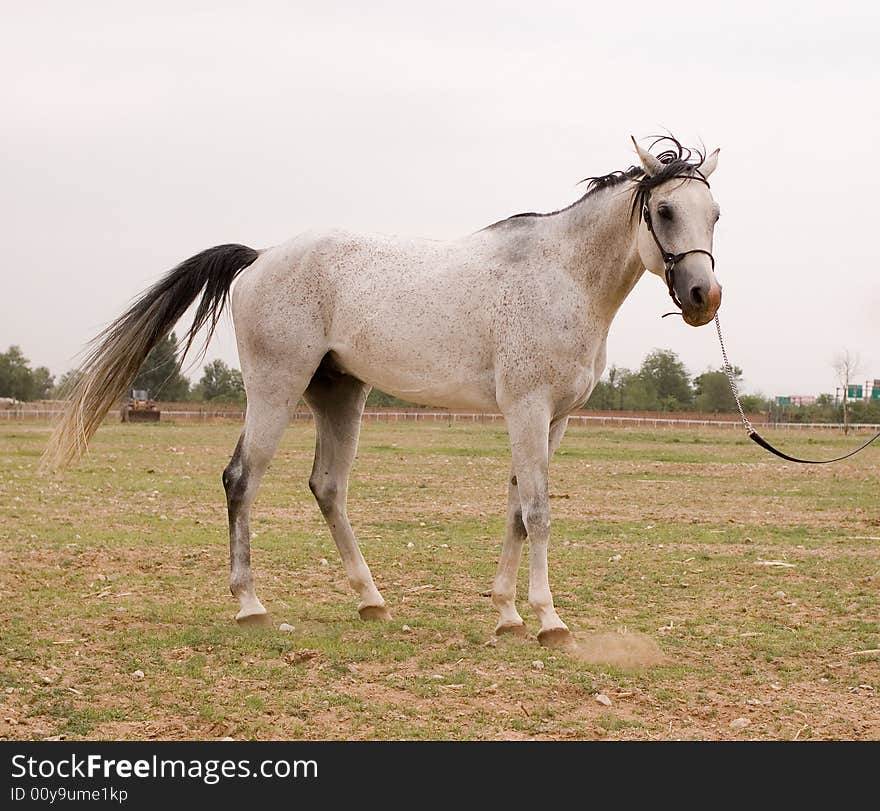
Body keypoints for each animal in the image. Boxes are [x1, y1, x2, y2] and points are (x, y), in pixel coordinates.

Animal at [44, 136, 720, 652]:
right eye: (664, 211)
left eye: (714, 214)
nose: (703, 297)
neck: (560, 276)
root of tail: (260, 257)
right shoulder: (527, 411)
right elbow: (538, 512)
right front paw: (548, 620)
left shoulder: (553, 420)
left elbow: (516, 510)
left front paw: (506, 613)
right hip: (275, 389)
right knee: (242, 479)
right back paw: (250, 605)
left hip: (340, 395)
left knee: (328, 487)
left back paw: (370, 601)